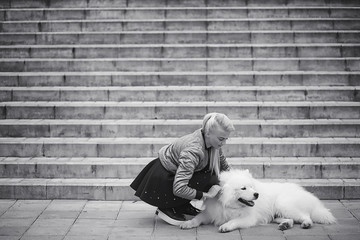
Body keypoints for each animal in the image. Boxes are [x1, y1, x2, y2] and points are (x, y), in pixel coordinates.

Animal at [181, 169, 336, 232]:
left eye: (251, 187)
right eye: (243, 188)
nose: (257, 194)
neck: (229, 206)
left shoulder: (248, 218)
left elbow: (234, 221)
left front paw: (226, 226)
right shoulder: (210, 214)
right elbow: (197, 218)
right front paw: (187, 223)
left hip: (284, 204)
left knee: (306, 216)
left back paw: (306, 224)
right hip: (278, 213)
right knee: (290, 220)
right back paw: (284, 225)